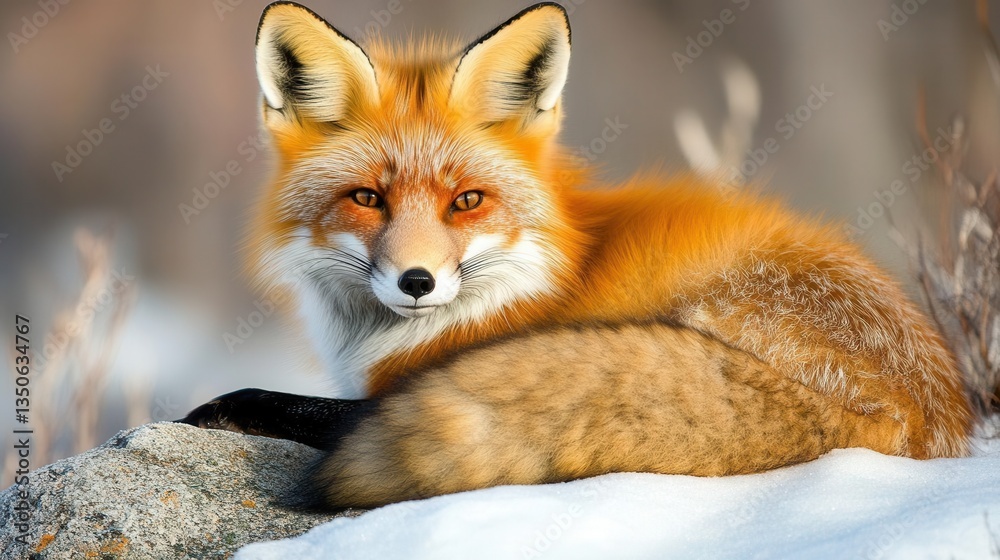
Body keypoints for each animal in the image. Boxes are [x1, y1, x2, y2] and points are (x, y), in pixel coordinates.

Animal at [181, 1, 992, 509]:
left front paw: (220, 408)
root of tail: (930, 415)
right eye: (366, 198)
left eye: (467, 201)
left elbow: (289, 404)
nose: (416, 281)